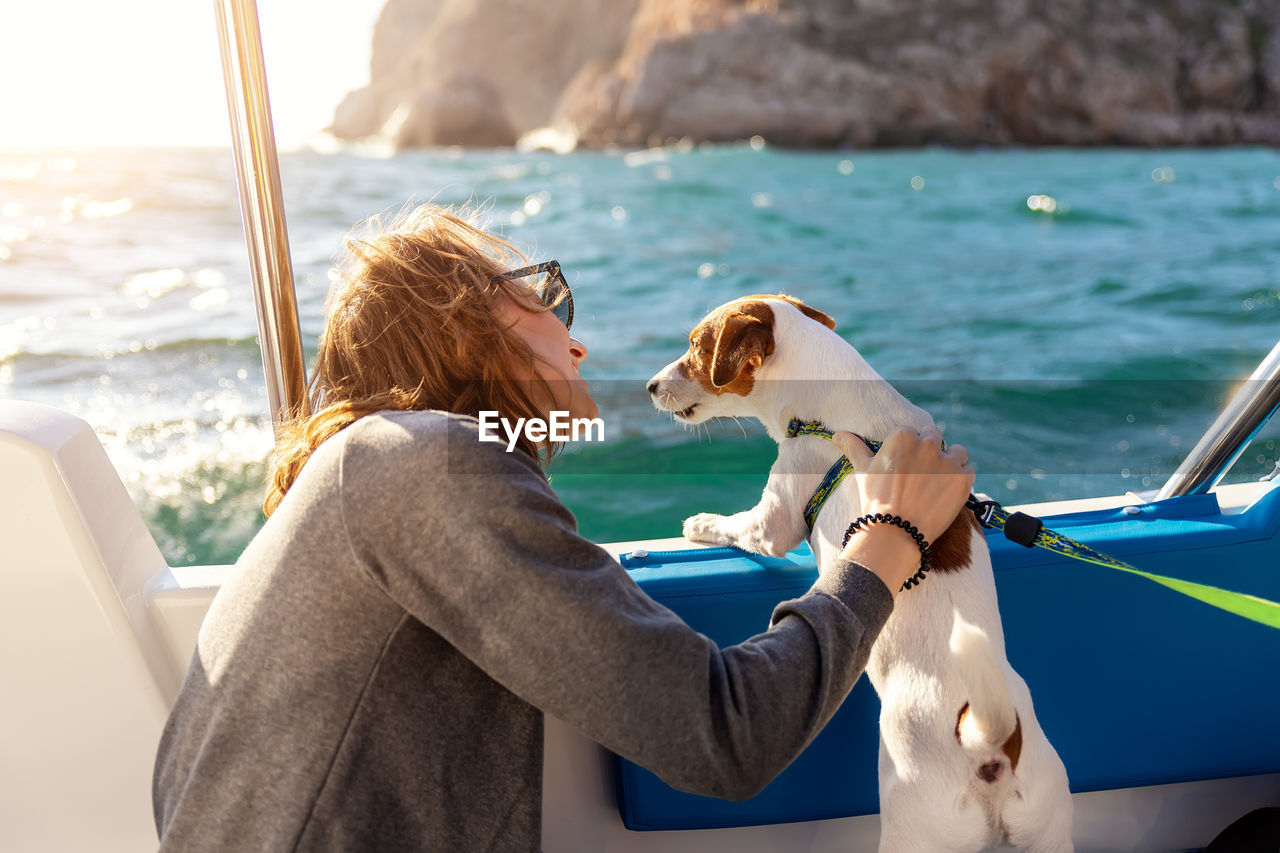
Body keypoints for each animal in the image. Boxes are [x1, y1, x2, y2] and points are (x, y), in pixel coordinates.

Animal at [645, 294, 1075, 850]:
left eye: (697, 347)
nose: (649, 386)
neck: (832, 404)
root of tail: (990, 744)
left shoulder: (777, 513)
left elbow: (745, 527)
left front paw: (700, 522)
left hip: (912, 825)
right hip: (1048, 824)